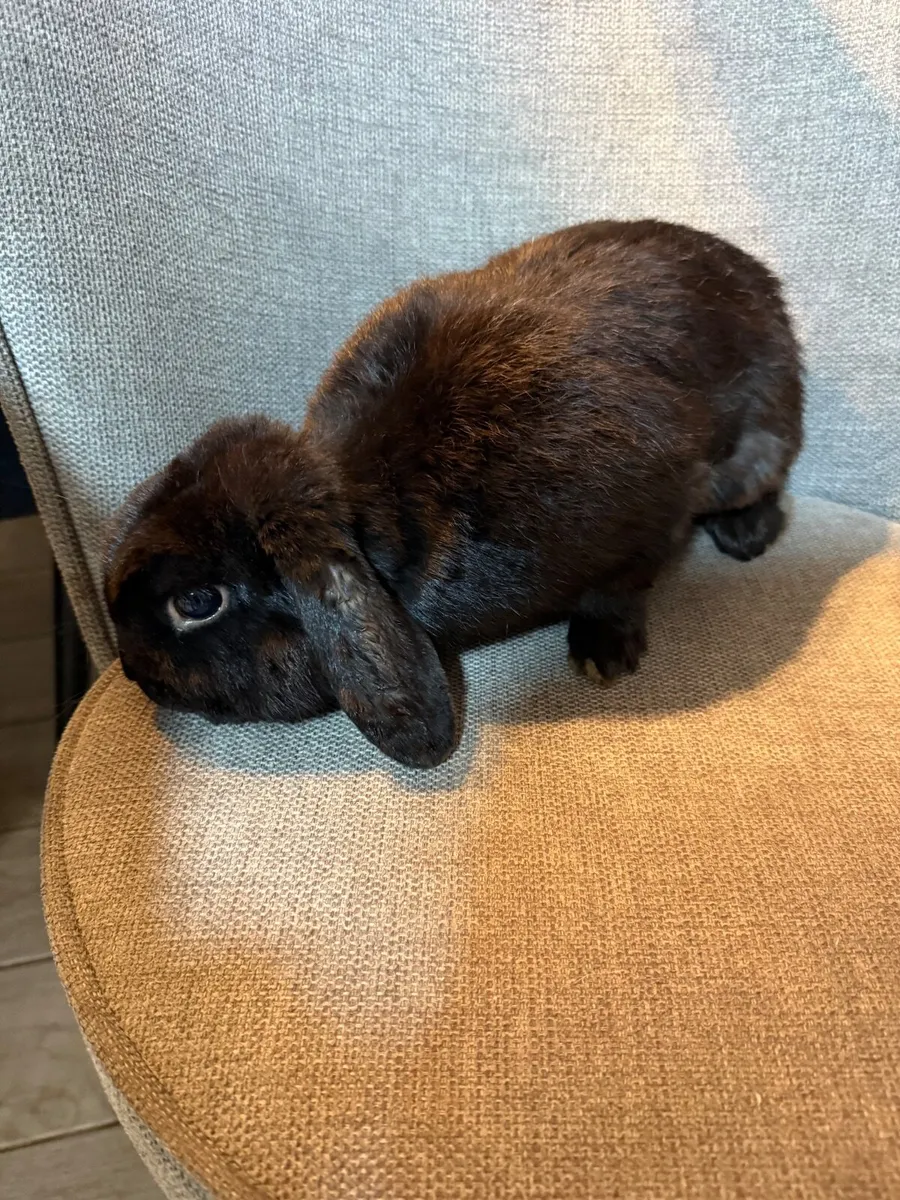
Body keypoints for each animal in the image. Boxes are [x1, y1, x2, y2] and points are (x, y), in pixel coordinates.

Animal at [105, 219, 803, 768]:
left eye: (198, 602)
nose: (138, 677)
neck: (371, 505)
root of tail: (762, 282)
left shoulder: (655, 499)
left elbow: (623, 585)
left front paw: (604, 656)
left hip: (759, 441)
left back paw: (748, 534)